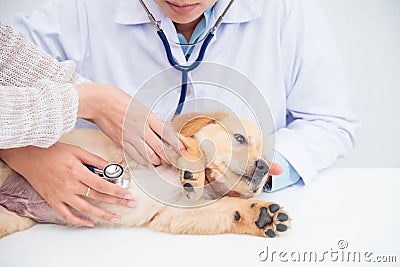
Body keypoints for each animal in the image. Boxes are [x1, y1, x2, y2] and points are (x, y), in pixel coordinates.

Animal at [0, 112, 288, 239]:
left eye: (266, 156)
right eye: (239, 139)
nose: (264, 168)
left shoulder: (174, 212)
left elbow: (228, 209)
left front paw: (261, 215)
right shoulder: (146, 146)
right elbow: (193, 146)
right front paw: (193, 175)